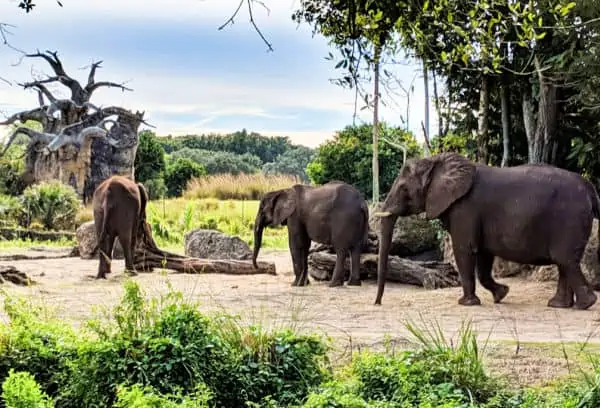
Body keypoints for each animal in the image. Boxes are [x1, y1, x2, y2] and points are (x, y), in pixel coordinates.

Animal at [372, 152, 596, 310]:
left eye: (404, 189)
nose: (377, 303)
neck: (435, 162)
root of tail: (589, 187)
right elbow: (483, 255)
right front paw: (502, 295)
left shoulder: (464, 209)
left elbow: (464, 250)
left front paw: (466, 303)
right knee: (564, 262)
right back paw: (559, 305)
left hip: (569, 220)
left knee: (565, 260)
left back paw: (585, 304)